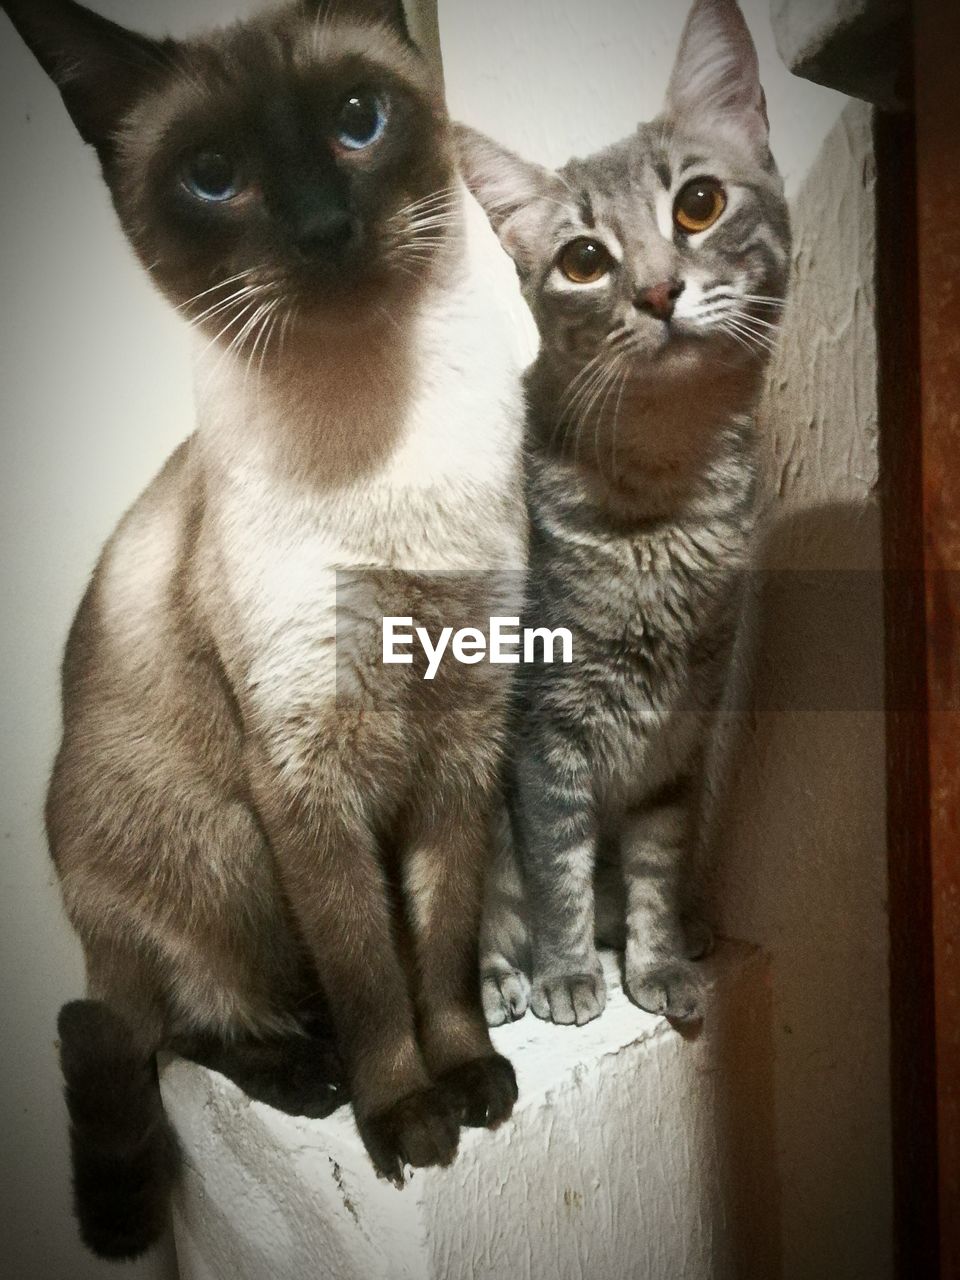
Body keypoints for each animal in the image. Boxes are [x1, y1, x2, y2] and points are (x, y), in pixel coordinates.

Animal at [1, 0, 527, 1259]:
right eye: (212, 176)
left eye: (358, 120)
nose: (326, 229)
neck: (382, 450)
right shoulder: (304, 773)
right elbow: (373, 975)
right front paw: (409, 1115)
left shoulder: (462, 741)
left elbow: (438, 947)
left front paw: (470, 1076)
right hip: (224, 846)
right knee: (161, 1031)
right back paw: (310, 1070)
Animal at [458, 0, 788, 1024]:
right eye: (583, 259)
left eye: (698, 204)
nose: (655, 290)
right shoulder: (545, 734)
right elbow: (555, 869)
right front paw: (568, 973)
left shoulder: (678, 740)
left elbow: (651, 866)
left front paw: (658, 959)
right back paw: (501, 978)